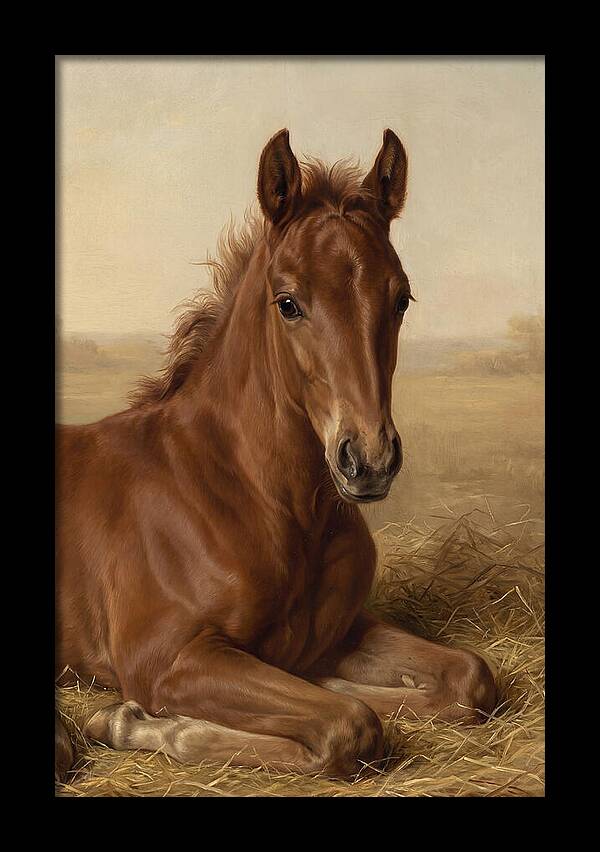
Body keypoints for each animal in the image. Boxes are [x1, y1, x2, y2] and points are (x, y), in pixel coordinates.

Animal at [55, 129, 496, 782]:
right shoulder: (166, 659)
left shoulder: (340, 632)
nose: (369, 459)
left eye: (402, 299)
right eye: (288, 303)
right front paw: (129, 721)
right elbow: (350, 725)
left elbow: (469, 678)